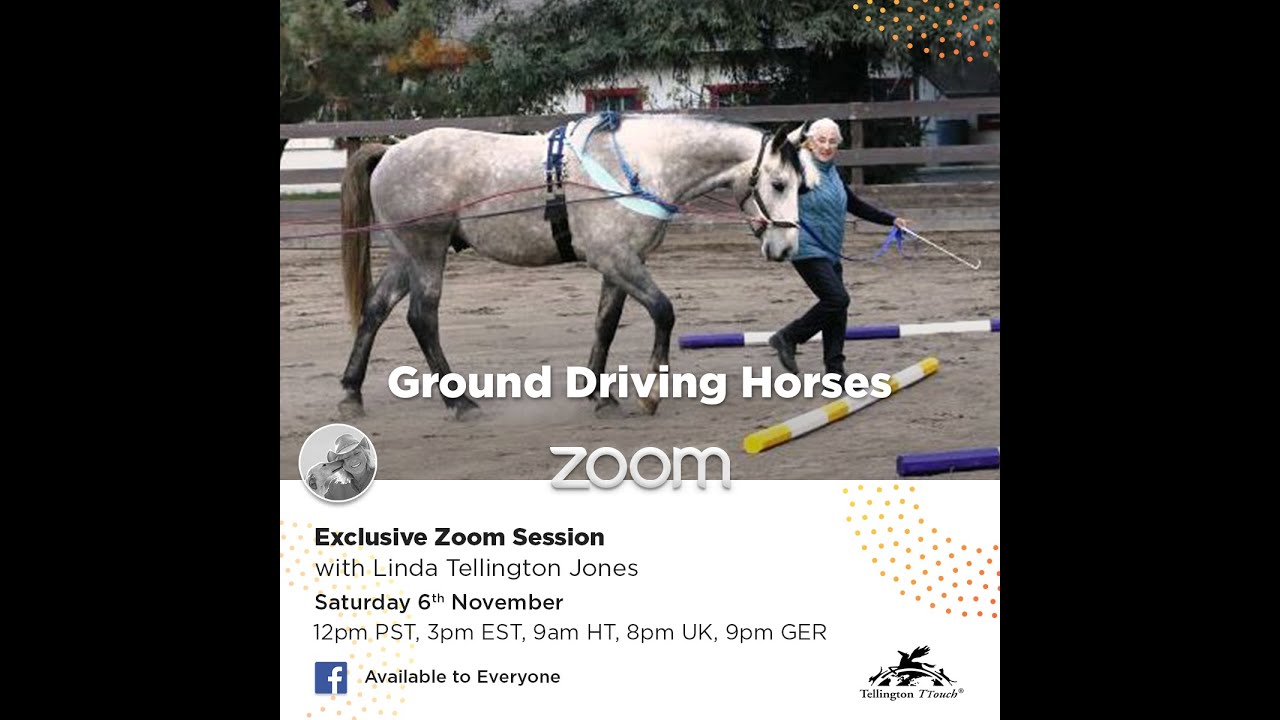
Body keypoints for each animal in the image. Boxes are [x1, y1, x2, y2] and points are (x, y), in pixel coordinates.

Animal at [337, 112, 808, 419]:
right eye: (778, 183)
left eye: (801, 185)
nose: (786, 247)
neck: (636, 166)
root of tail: (390, 152)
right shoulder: (617, 260)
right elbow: (663, 311)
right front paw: (651, 394)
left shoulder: (620, 265)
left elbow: (606, 324)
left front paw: (600, 394)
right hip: (426, 253)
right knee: (422, 318)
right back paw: (460, 402)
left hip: (406, 256)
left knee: (375, 310)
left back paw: (351, 392)